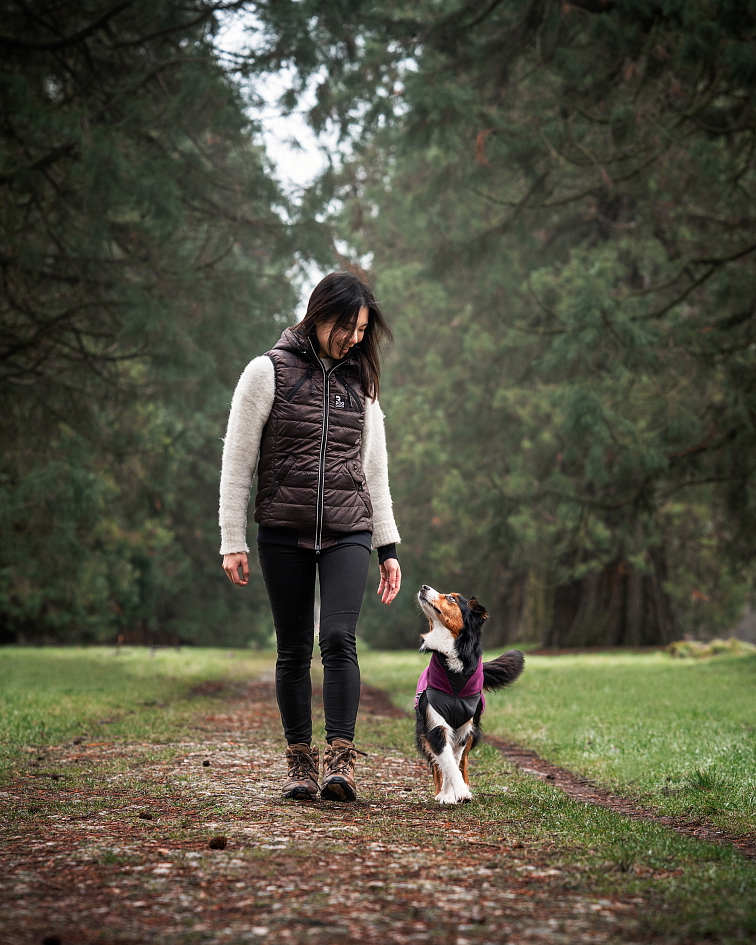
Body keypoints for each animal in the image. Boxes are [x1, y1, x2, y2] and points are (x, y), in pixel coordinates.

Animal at [416, 588, 524, 800]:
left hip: (473, 731)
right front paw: (449, 794)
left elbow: (455, 761)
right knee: (436, 763)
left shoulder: (464, 728)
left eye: (451, 598)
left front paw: (458, 791)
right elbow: (446, 762)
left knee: (463, 761)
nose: (424, 587)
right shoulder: (435, 725)